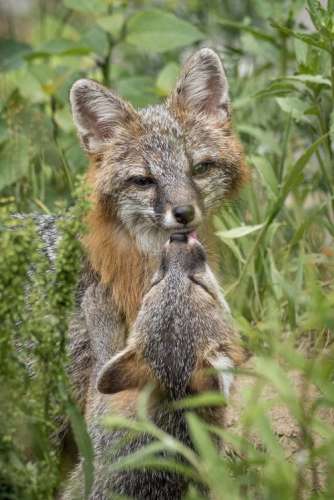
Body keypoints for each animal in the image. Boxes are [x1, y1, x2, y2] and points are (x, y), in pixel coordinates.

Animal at [62, 234, 244, 500]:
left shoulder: (98, 419)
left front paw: (100, 310)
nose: (178, 238)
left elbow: (103, 356)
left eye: (199, 284)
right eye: (156, 282)